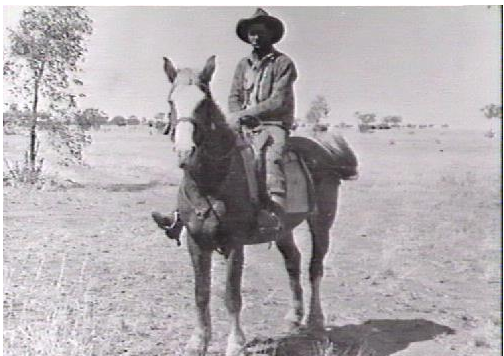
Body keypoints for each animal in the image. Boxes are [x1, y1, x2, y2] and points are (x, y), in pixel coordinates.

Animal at [161, 55, 354, 356]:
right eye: (172, 101)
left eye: (203, 103)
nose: (185, 153)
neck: (211, 182)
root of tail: (326, 153)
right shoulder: (196, 242)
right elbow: (201, 293)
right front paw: (198, 341)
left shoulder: (234, 243)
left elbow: (231, 295)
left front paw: (235, 343)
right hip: (283, 229)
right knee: (293, 261)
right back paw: (293, 317)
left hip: (321, 223)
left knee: (315, 268)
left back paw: (315, 322)